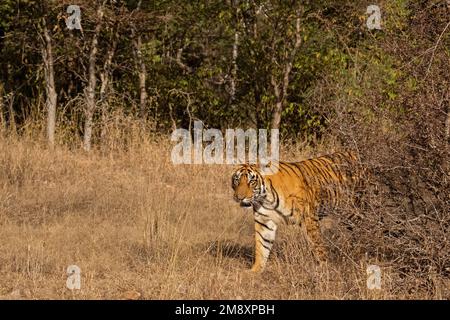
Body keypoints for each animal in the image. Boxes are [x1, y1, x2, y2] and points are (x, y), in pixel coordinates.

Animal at [232, 151, 362, 272]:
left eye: (251, 182)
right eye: (237, 180)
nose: (239, 197)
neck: (266, 198)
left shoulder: (309, 219)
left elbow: (317, 245)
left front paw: (324, 268)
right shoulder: (264, 221)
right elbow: (262, 246)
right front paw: (255, 270)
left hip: (353, 210)